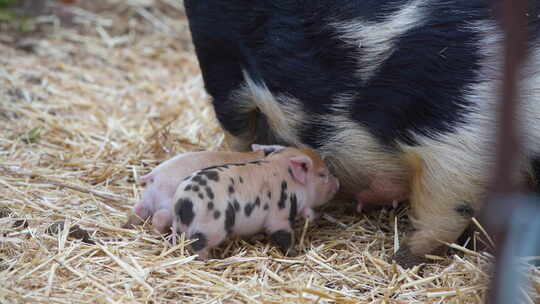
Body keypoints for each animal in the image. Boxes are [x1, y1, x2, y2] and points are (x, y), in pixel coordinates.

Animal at [172, 147, 338, 258]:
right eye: (323, 174)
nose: (338, 183)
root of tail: (184, 201)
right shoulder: (279, 216)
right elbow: (283, 235)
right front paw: (295, 253)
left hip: (180, 226)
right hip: (210, 226)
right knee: (198, 245)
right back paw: (210, 260)